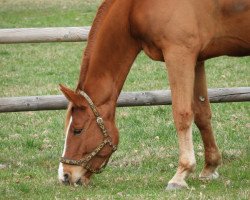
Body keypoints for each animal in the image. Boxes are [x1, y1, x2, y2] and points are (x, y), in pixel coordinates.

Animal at [57, 0, 249, 189]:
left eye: (77, 130)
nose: (65, 175)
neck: (134, 7)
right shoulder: (197, 60)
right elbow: (202, 115)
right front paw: (210, 167)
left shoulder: (179, 54)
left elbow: (182, 114)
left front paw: (181, 174)